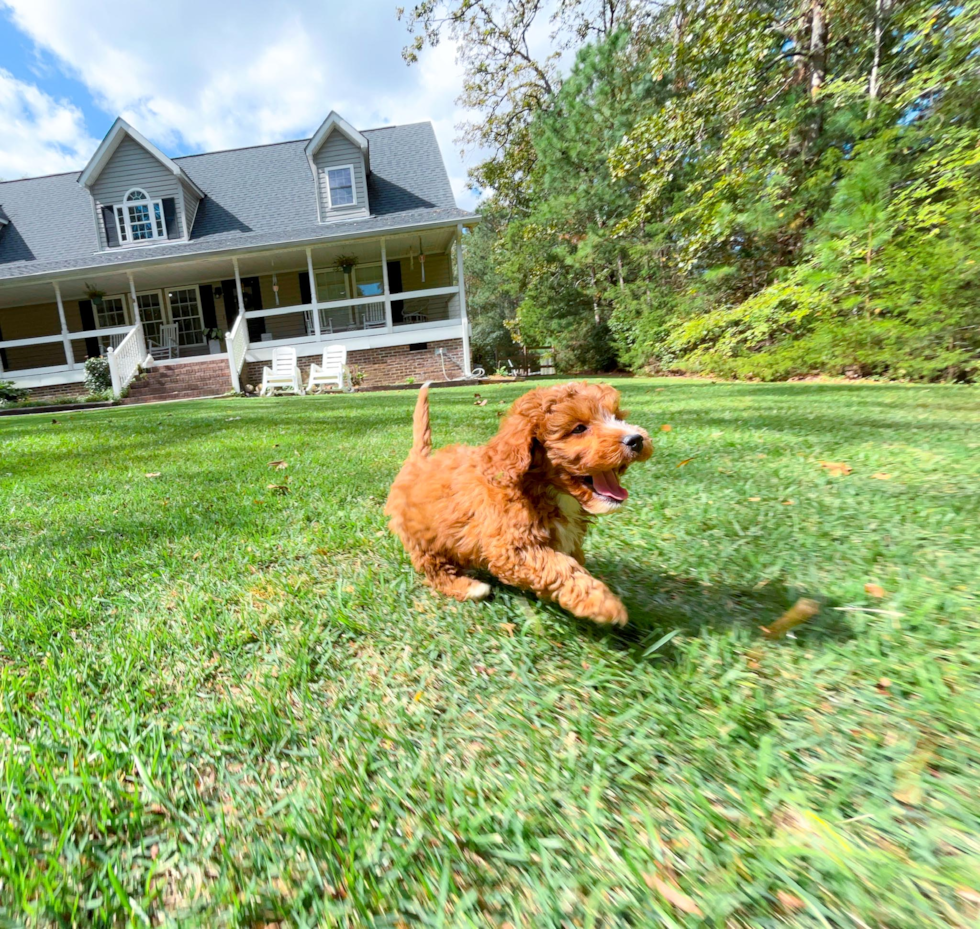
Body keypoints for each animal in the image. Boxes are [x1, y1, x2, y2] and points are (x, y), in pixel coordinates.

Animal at [386, 376, 656, 624]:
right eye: (579, 428)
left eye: (617, 416)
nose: (636, 439)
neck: (544, 489)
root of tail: (417, 463)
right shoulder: (511, 548)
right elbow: (558, 567)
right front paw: (602, 602)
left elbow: (571, 560)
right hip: (424, 539)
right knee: (435, 570)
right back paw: (470, 587)